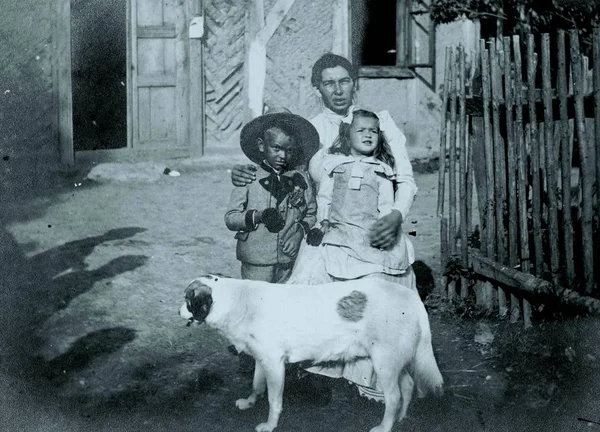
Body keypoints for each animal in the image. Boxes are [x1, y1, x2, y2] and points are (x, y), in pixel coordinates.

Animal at [180, 276, 442, 430]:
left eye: (187, 298)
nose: (178, 309)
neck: (239, 301)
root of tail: (411, 296)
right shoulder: (262, 360)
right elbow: (256, 385)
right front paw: (250, 402)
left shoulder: (274, 364)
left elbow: (274, 400)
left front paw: (270, 425)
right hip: (394, 363)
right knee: (408, 386)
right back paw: (400, 418)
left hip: (384, 364)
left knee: (394, 396)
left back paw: (385, 426)